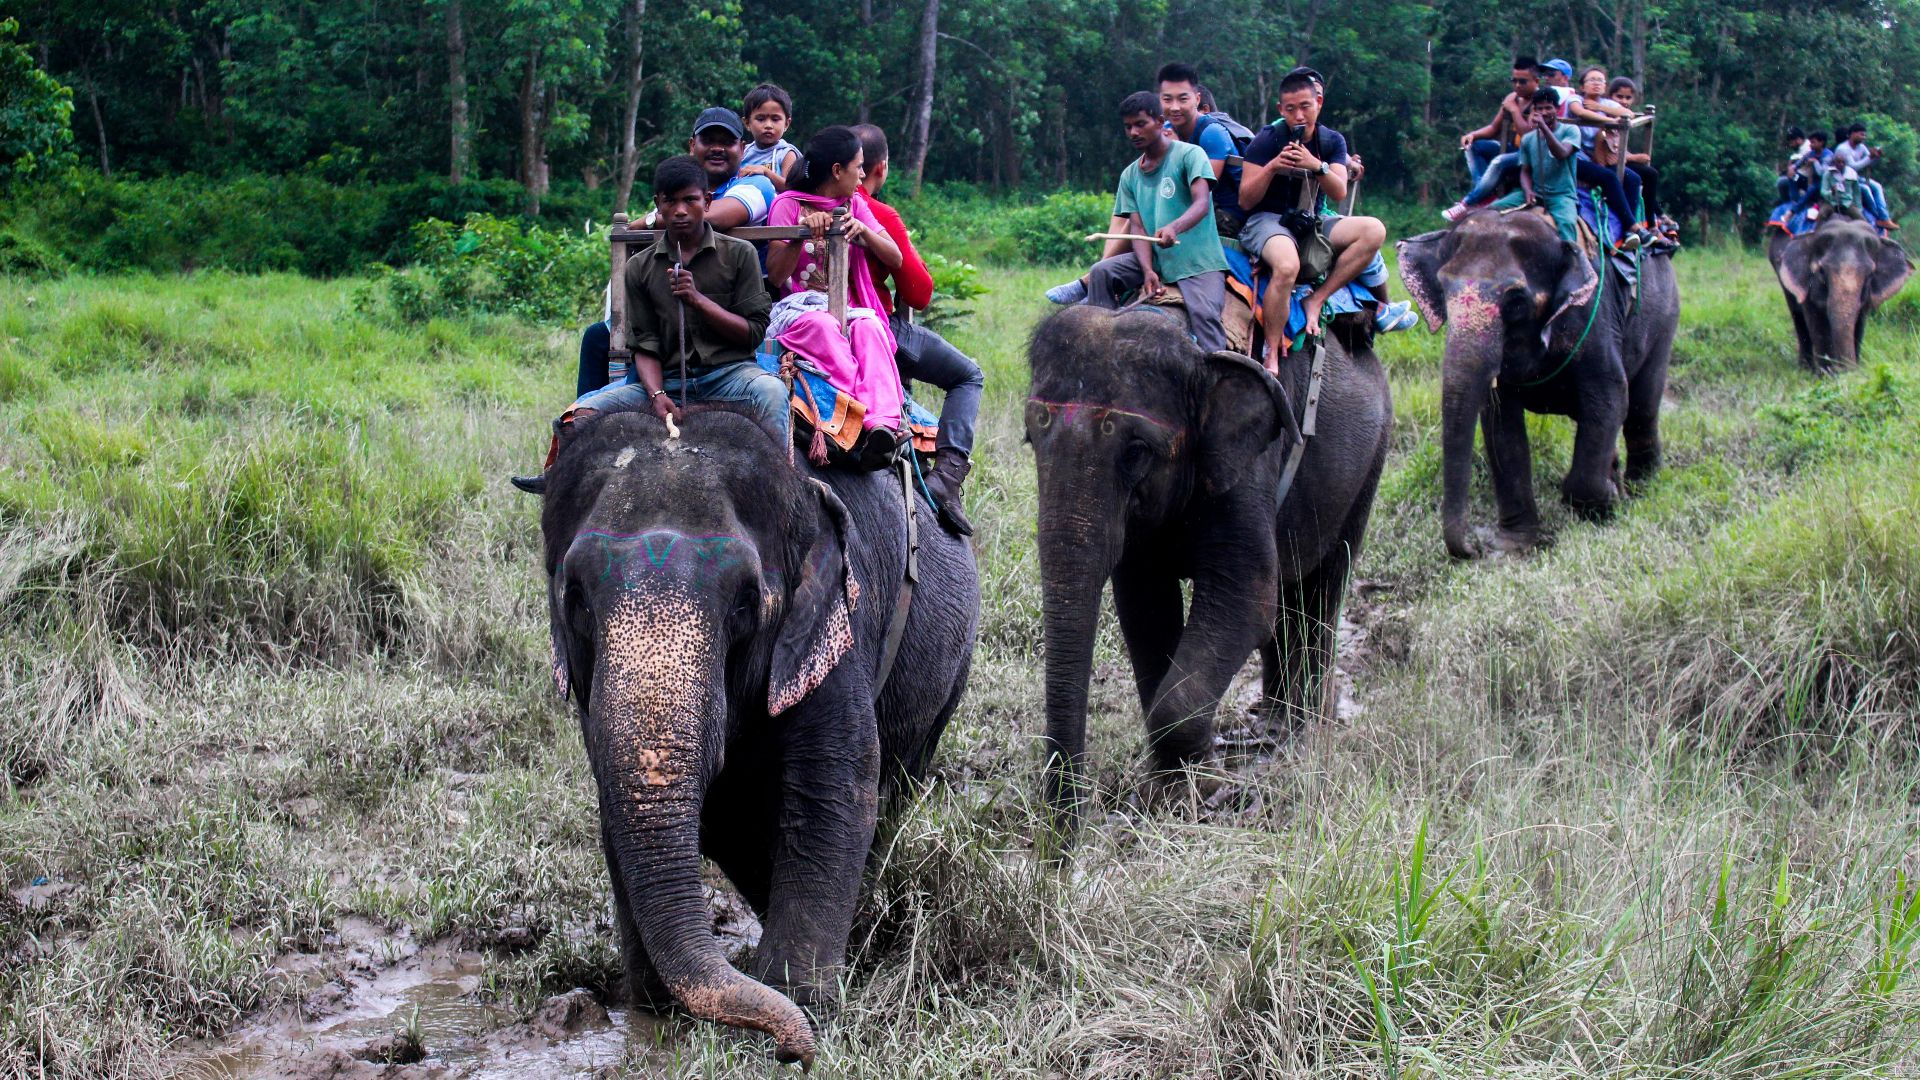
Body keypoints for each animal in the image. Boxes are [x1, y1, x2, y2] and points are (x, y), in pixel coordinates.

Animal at [540, 407, 978, 1065]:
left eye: (747, 602)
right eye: (576, 598)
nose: (795, 1049)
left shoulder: (834, 625)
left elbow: (834, 792)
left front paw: (801, 1001)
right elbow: (629, 805)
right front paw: (654, 1006)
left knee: (897, 787)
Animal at [1024, 304, 1391, 838]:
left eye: (1137, 451)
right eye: (1031, 437)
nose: (1063, 835)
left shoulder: (1250, 467)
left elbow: (1247, 595)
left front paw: (1204, 793)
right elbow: (1144, 606)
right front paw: (1169, 787)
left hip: (1370, 461)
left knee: (1323, 587)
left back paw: (1303, 734)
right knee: (1290, 599)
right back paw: (1269, 728)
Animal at [1397, 210, 1680, 560]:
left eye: (1517, 302)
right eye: (1442, 288)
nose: (1473, 548)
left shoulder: (1593, 316)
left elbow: (1610, 396)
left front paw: (1606, 504)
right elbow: (1500, 423)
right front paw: (1514, 545)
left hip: (1665, 314)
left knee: (1642, 405)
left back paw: (1642, 488)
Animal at [1768, 218, 1913, 373]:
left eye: (1869, 275)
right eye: (1822, 272)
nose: (1848, 370)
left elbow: (1859, 323)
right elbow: (1817, 323)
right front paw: (1827, 375)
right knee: (1797, 316)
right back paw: (1805, 369)